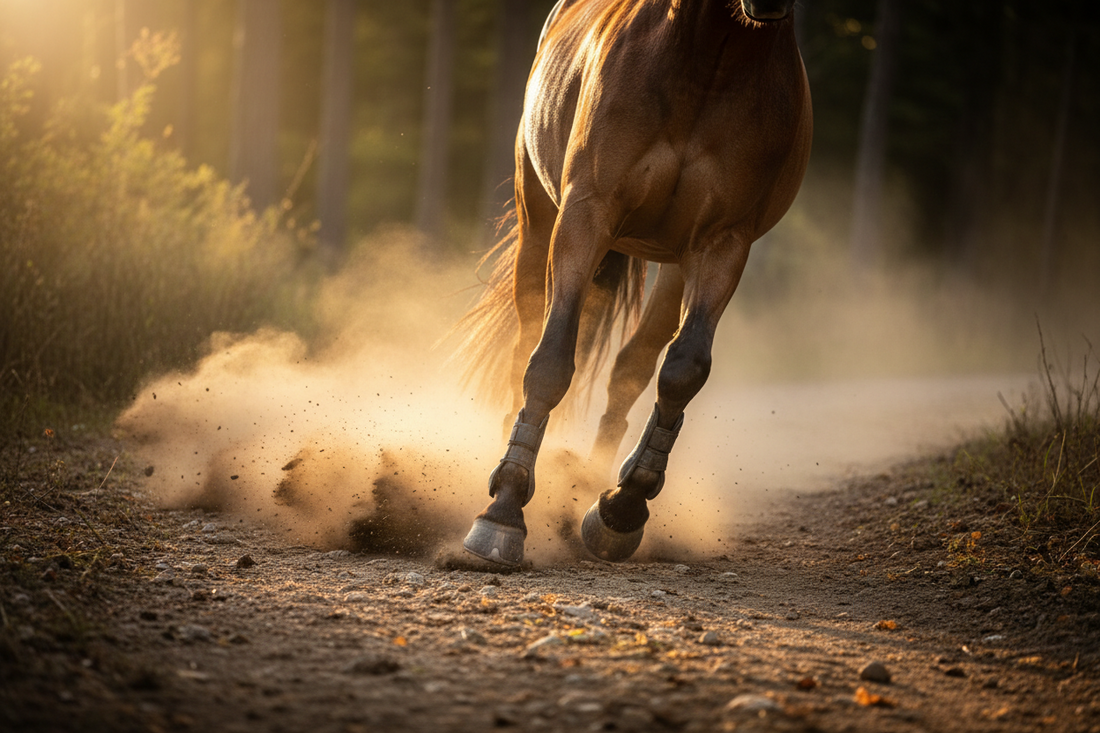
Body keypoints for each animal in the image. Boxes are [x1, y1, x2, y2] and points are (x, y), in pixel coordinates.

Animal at [457, 0, 812, 566]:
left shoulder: (723, 243)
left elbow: (683, 371)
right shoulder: (585, 216)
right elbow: (549, 361)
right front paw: (504, 509)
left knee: (633, 368)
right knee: (525, 343)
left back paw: (589, 483)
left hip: (674, 264)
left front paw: (621, 507)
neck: (711, 58)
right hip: (537, 222)